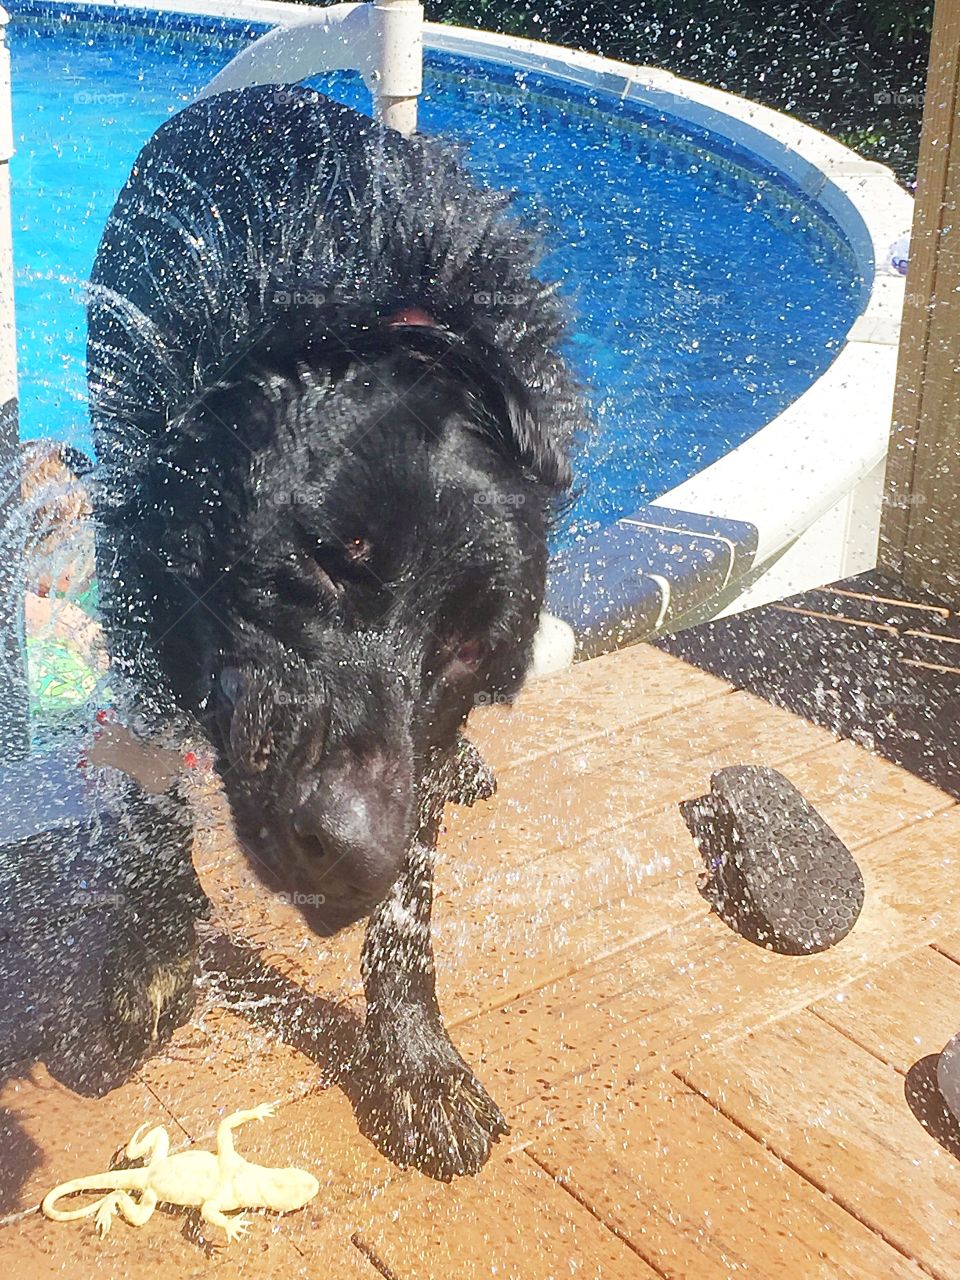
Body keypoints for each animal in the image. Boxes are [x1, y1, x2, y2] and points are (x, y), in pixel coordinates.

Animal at [88, 87, 586, 1177]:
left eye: (472, 650)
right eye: (323, 555)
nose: (350, 855)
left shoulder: (420, 743)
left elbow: (411, 904)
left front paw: (418, 1064)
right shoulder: (132, 575)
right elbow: (147, 775)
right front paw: (150, 950)